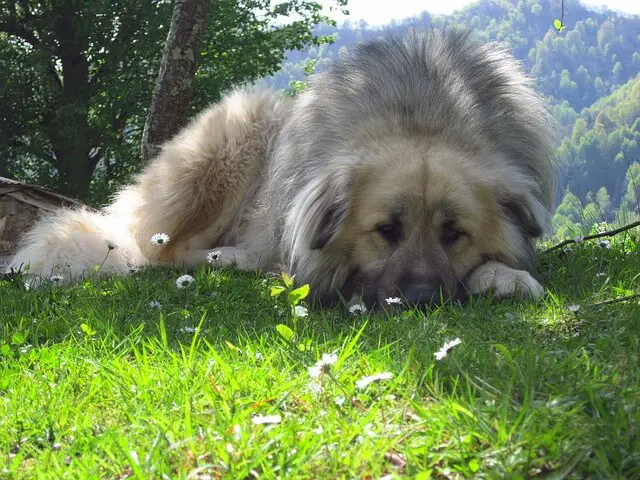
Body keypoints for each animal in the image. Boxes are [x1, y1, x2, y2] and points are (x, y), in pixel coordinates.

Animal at [6, 30, 556, 308]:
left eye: (454, 233)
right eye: (386, 230)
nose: (422, 299)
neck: (424, 111)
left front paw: (505, 277)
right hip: (242, 129)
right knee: (163, 251)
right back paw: (226, 259)